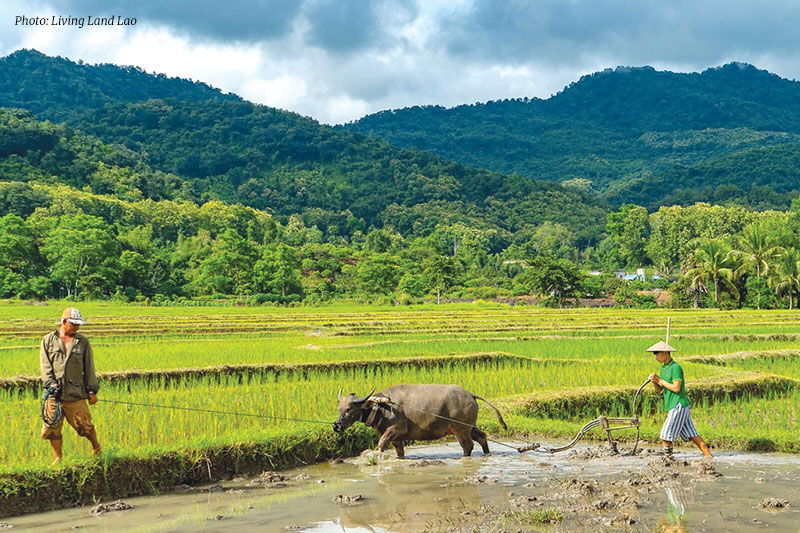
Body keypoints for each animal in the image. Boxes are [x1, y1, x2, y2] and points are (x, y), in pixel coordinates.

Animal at [332, 382, 506, 458]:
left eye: (349, 409)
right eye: (339, 409)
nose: (336, 426)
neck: (381, 407)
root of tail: (470, 394)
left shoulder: (396, 429)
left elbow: (381, 443)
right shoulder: (397, 438)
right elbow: (399, 452)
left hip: (460, 429)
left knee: (468, 445)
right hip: (469, 427)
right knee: (482, 437)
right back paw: (487, 454)